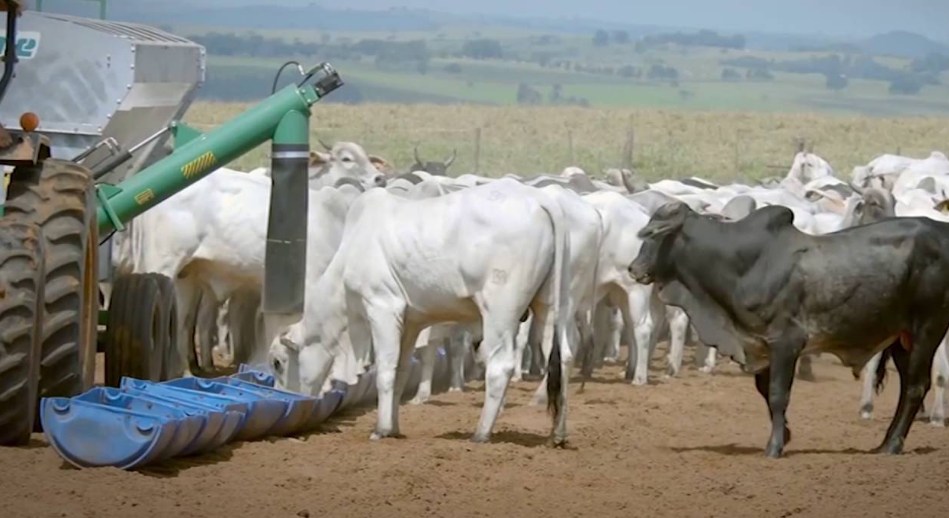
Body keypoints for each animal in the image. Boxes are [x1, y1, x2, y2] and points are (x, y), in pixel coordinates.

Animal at [270, 180, 572, 446]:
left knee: (501, 366)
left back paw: (481, 433)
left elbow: (385, 370)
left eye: (277, 362)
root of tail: (539, 199)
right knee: (559, 358)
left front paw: (381, 430)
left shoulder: (382, 306)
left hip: (499, 311)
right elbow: (401, 371)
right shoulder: (411, 322)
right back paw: (557, 434)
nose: (296, 402)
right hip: (550, 307)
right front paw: (393, 427)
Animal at [628, 203, 949, 460]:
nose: (633, 268)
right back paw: (884, 444)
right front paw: (786, 434)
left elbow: (777, 394)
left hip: (928, 330)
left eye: (654, 234)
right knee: (908, 388)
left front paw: (774, 447)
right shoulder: (758, 344)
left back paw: (893, 445)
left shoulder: (787, 343)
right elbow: (765, 391)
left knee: (916, 387)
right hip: (903, 340)